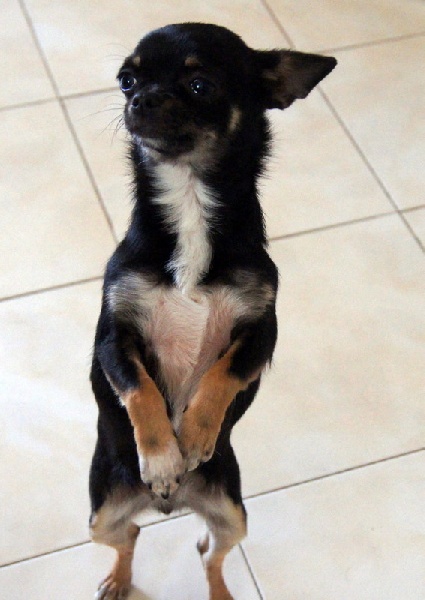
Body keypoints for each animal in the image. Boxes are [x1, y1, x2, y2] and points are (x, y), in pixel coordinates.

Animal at [89, 23, 336, 600]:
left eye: (200, 85)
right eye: (126, 78)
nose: (139, 99)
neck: (189, 202)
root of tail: (170, 504)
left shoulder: (262, 331)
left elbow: (225, 373)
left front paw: (198, 432)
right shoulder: (113, 338)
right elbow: (140, 389)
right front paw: (162, 456)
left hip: (233, 514)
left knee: (208, 552)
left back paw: (218, 588)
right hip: (100, 516)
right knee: (129, 536)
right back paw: (121, 575)